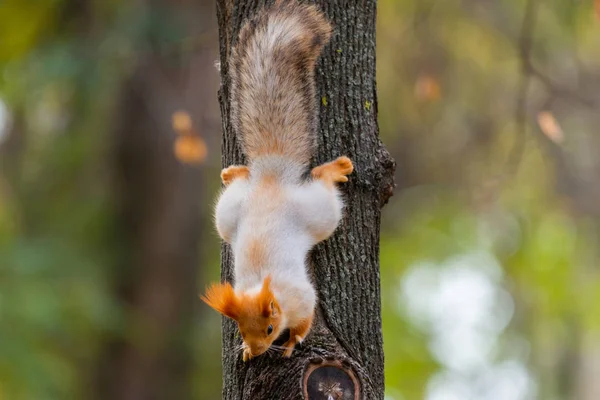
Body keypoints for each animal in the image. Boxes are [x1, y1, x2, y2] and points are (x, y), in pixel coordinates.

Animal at [202, 0, 352, 362]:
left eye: (270, 329)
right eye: (241, 330)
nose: (256, 351)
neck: (264, 288)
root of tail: (271, 177)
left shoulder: (302, 297)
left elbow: (305, 320)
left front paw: (292, 343)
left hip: (319, 212)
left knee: (323, 186)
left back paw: (335, 169)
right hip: (228, 213)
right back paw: (234, 172)